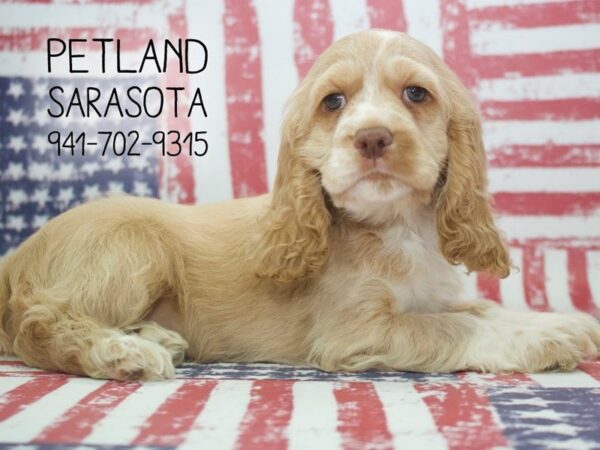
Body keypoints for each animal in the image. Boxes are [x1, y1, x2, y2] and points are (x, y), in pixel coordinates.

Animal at [1, 30, 599, 380]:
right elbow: (457, 329)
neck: (398, 226)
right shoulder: (353, 330)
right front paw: (551, 335)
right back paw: (122, 353)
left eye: (416, 94)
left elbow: (482, 310)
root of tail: (16, 257)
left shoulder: (432, 294)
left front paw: (554, 320)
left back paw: (154, 336)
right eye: (333, 102)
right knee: (38, 322)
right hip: (136, 249)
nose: (373, 137)